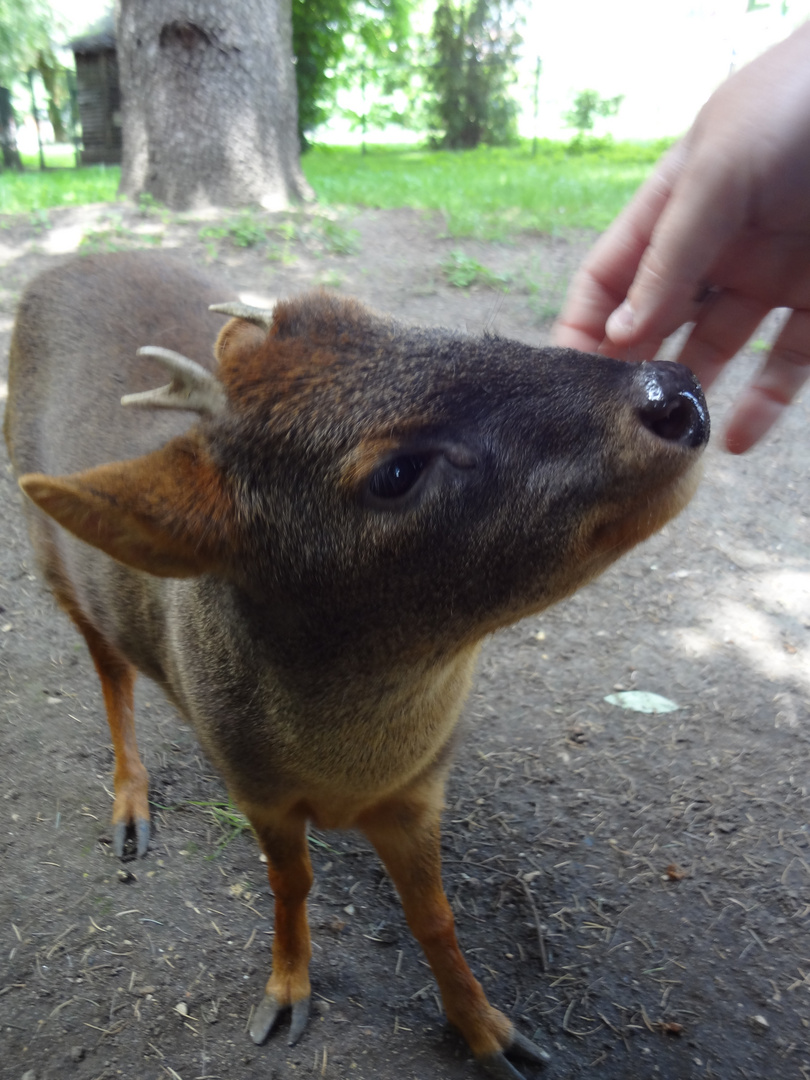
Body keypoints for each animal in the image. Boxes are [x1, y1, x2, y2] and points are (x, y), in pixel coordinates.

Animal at [3, 252, 708, 1080]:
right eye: (395, 473)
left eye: (438, 330)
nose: (677, 393)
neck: (355, 766)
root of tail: (66, 263)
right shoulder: (257, 788)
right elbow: (290, 883)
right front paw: (285, 995)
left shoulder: (420, 789)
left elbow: (433, 915)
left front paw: (492, 1033)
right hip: (51, 557)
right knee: (109, 671)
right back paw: (129, 810)